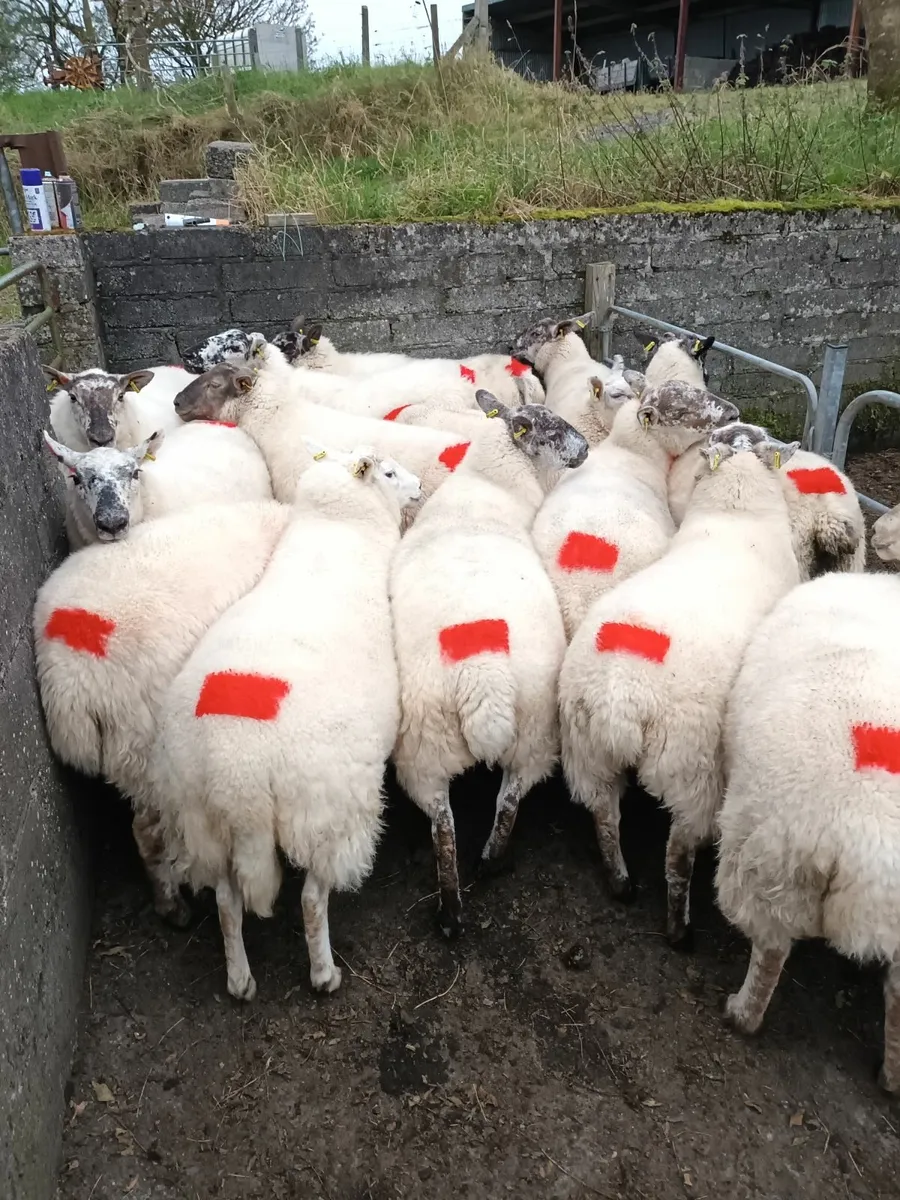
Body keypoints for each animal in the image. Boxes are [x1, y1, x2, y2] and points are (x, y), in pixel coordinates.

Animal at [146, 444, 422, 1000]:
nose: (422, 484)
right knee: (312, 900)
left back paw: (240, 980)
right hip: (324, 810)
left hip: (201, 818)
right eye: (388, 471)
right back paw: (323, 974)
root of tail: (238, 773)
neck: (337, 528)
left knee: (227, 902)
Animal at [390, 390, 589, 937]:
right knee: (504, 802)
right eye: (550, 428)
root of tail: (485, 679)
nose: (587, 448)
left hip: (431, 747)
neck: (488, 486)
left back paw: (453, 909)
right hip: (530, 733)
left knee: (448, 822)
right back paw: (486, 869)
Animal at [559, 435, 800, 947]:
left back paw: (621, 884)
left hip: (587, 751)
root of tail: (621, 695)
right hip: (693, 773)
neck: (736, 517)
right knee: (678, 856)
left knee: (605, 817)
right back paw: (679, 930)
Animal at [715, 506, 900, 1090]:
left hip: (769, 862)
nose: (879, 527)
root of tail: (859, 837)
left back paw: (742, 1014)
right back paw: (892, 1076)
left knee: (772, 948)